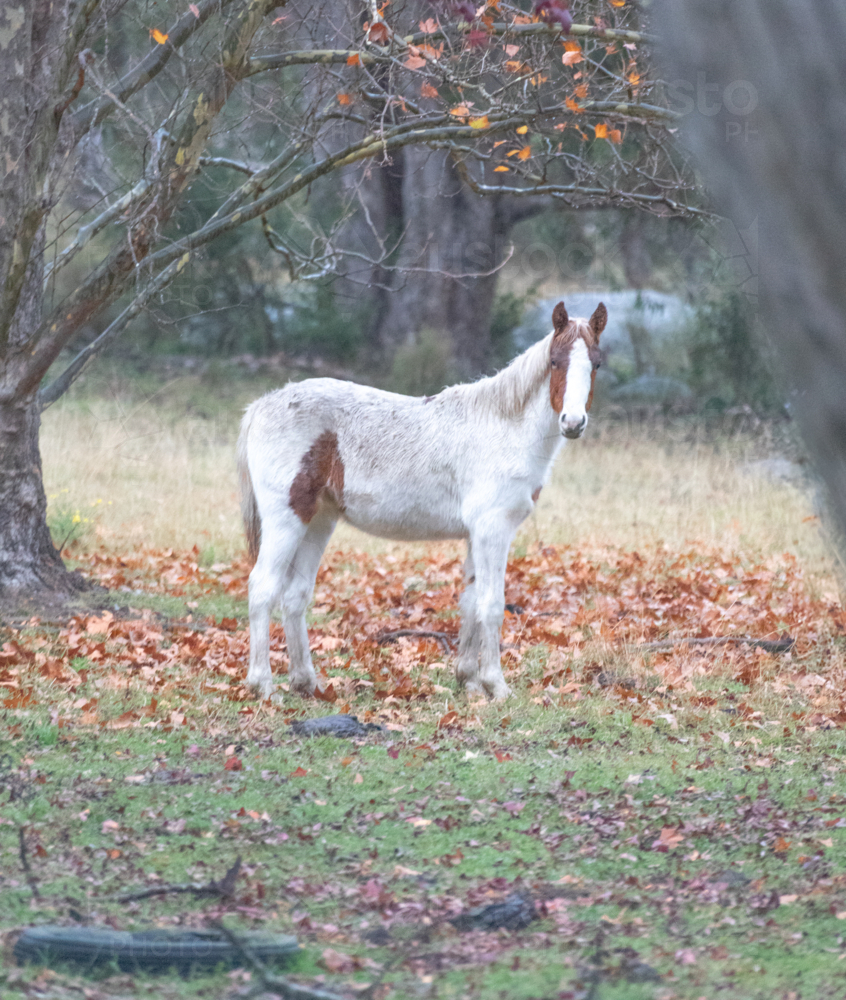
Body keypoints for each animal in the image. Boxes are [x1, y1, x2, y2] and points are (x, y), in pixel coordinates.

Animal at [238, 299, 606, 701]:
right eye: (555, 361)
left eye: (596, 364)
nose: (573, 422)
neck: (504, 429)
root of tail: (261, 405)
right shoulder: (493, 530)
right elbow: (492, 605)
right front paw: (497, 685)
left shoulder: (476, 535)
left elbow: (470, 603)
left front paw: (469, 680)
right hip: (286, 520)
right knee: (262, 589)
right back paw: (263, 685)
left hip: (318, 521)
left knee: (295, 595)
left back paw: (308, 683)